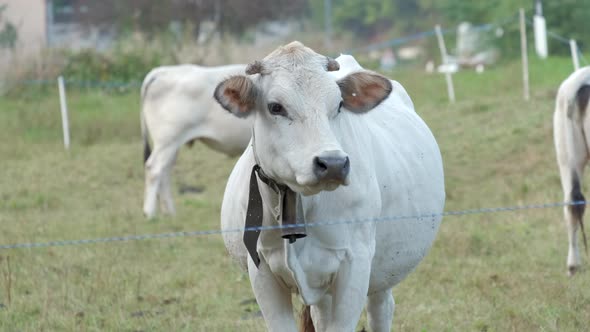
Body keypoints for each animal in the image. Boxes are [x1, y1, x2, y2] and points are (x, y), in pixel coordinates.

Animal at [143, 63, 256, 219]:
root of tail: (162, 71)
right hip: (167, 141)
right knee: (154, 170)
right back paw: (150, 213)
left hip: (172, 145)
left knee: (164, 172)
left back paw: (170, 212)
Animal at [215, 42, 446, 332]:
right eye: (275, 107)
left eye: (338, 105)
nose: (333, 164)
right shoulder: (261, 270)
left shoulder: (355, 265)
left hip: (383, 271)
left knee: (380, 309)